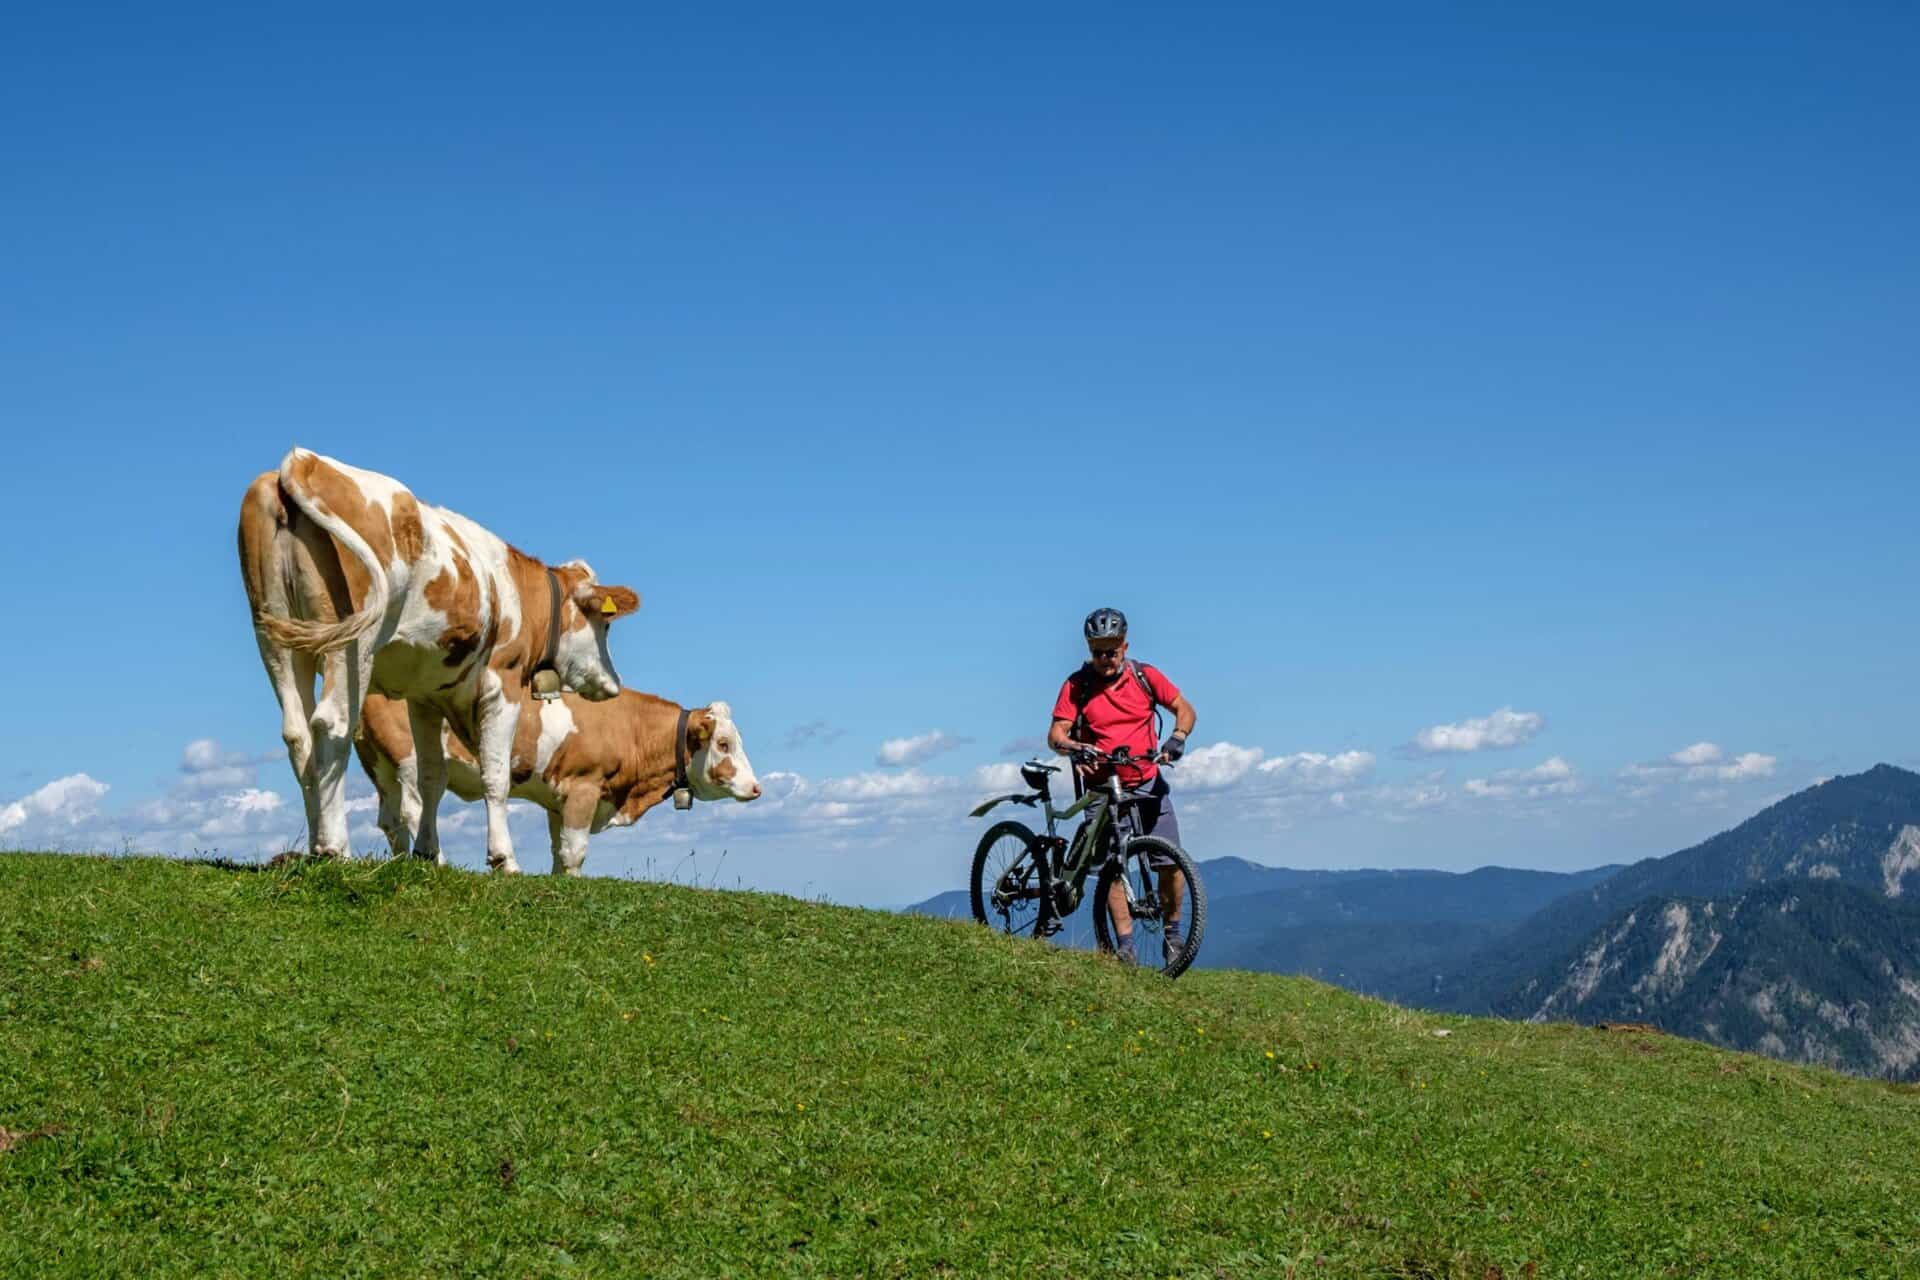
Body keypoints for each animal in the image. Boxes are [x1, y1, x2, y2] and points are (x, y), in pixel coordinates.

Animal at [238, 448, 640, 869]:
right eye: (605, 625)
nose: (613, 684)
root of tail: (306, 460)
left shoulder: (425, 697)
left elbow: (431, 776)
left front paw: (427, 852)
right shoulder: (502, 684)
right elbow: (496, 775)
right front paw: (504, 859)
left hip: (275, 635)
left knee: (298, 734)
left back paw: (317, 844)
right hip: (351, 645)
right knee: (331, 725)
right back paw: (336, 847)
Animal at [354, 689, 760, 875]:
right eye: (724, 744)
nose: (757, 787)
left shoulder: (557, 799)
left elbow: (559, 850)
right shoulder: (584, 787)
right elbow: (575, 850)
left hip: (381, 767)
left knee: (390, 819)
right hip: (408, 760)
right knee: (415, 807)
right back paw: (438, 861)